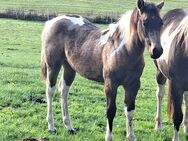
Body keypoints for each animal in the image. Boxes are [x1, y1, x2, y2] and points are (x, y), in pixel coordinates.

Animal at [40, 0, 164, 140]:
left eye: (161, 22)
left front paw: (131, 136)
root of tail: (52, 22)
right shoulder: (110, 84)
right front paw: (108, 137)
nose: (157, 51)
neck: (122, 50)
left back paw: (69, 126)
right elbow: (111, 110)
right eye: (144, 22)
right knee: (50, 90)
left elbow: (130, 110)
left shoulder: (133, 85)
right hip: (53, 66)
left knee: (64, 91)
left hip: (69, 68)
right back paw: (51, 126)